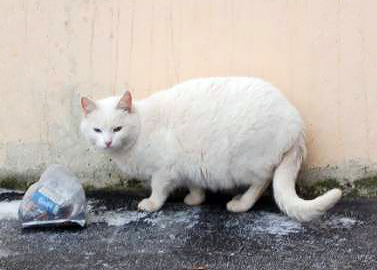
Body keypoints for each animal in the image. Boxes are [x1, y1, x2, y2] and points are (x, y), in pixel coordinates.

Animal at [79, 76, 340, 221]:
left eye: (117, 128)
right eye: (97, 130)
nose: (108, 142)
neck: (141, 128)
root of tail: (297, 124)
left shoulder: (164, 169)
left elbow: (158, 189)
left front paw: (151, 204)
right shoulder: (188, 164)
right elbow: (194, 183)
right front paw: (195, 199)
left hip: (244, 161)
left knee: (263, 182)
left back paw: (240, 204)